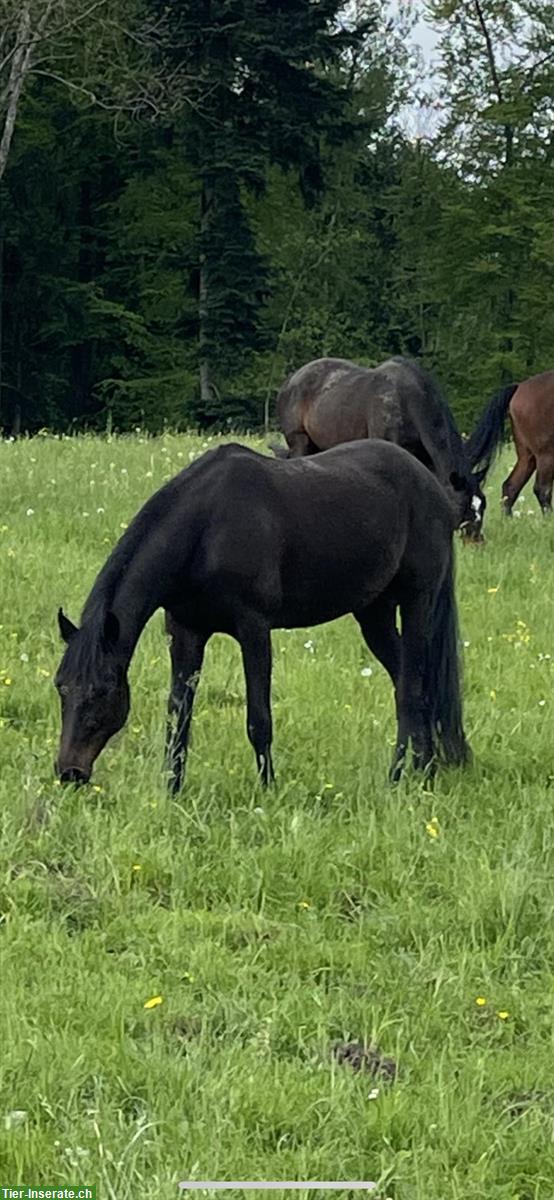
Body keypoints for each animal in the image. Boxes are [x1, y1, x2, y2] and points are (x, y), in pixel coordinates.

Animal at [53, 436, 470, 792]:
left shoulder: (253, 629)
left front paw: (268, 790)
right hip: (374, 613)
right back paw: (425, 769)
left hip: (417, 601)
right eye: (61, 686)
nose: (69, 772)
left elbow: (259, 719)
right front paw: (171, 791)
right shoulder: (186, 631)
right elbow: (178, 716)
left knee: (412, 687)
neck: (205, 530)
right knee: (411, 684)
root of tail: (433, 487)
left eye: (103, 690)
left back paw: (401, 777)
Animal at [271, 355, 484, 540]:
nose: (476, 541)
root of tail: (291, 380)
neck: (409, 400)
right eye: (465, 507)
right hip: (300, 441)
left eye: (483, 506)